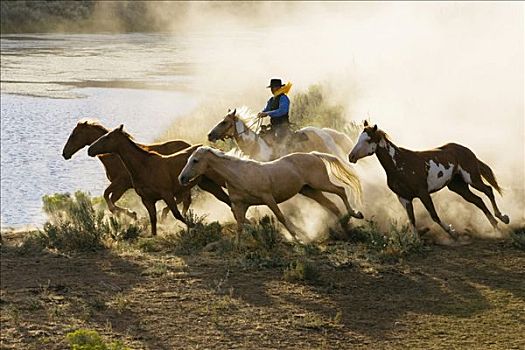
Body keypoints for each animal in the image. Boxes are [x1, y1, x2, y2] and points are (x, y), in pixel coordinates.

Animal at [87, 124, 230, 237]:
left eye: (107, 137)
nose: (90, 150)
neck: (144, 167)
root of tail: (217, 149)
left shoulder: (166, 194)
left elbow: (176, 214)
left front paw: (196, 226)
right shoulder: (147, 199)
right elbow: (153, 219)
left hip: (219, 180)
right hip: (207, 184)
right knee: (225, 198)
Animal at [178, 146, 362, 245]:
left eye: (195, 161)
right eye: (187, 160)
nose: (182, 178)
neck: (239, 175)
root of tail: (313, 154)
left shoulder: (268, 198)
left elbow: (281, 217)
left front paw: (298, 240)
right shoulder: (241, 205)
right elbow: (240, 224)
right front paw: (237, 246)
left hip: (319, 183)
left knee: (341, 190)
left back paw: (355, 214)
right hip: (309, 190)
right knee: (331, 205)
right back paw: (345, 227)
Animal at [348, 120, 508, 238]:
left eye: (368, 140)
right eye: (358, 138)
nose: (351, 156)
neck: (399, 164)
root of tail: (466, 150)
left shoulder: (423, 193)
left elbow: (434, 215)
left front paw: (452, 233)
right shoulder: (404, 198)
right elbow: (411, 219)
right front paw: (416, 240)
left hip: (472, 178)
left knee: (488, 190)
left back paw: (502, 217)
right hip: (458, 186)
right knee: (478, 200)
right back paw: (496, 226)